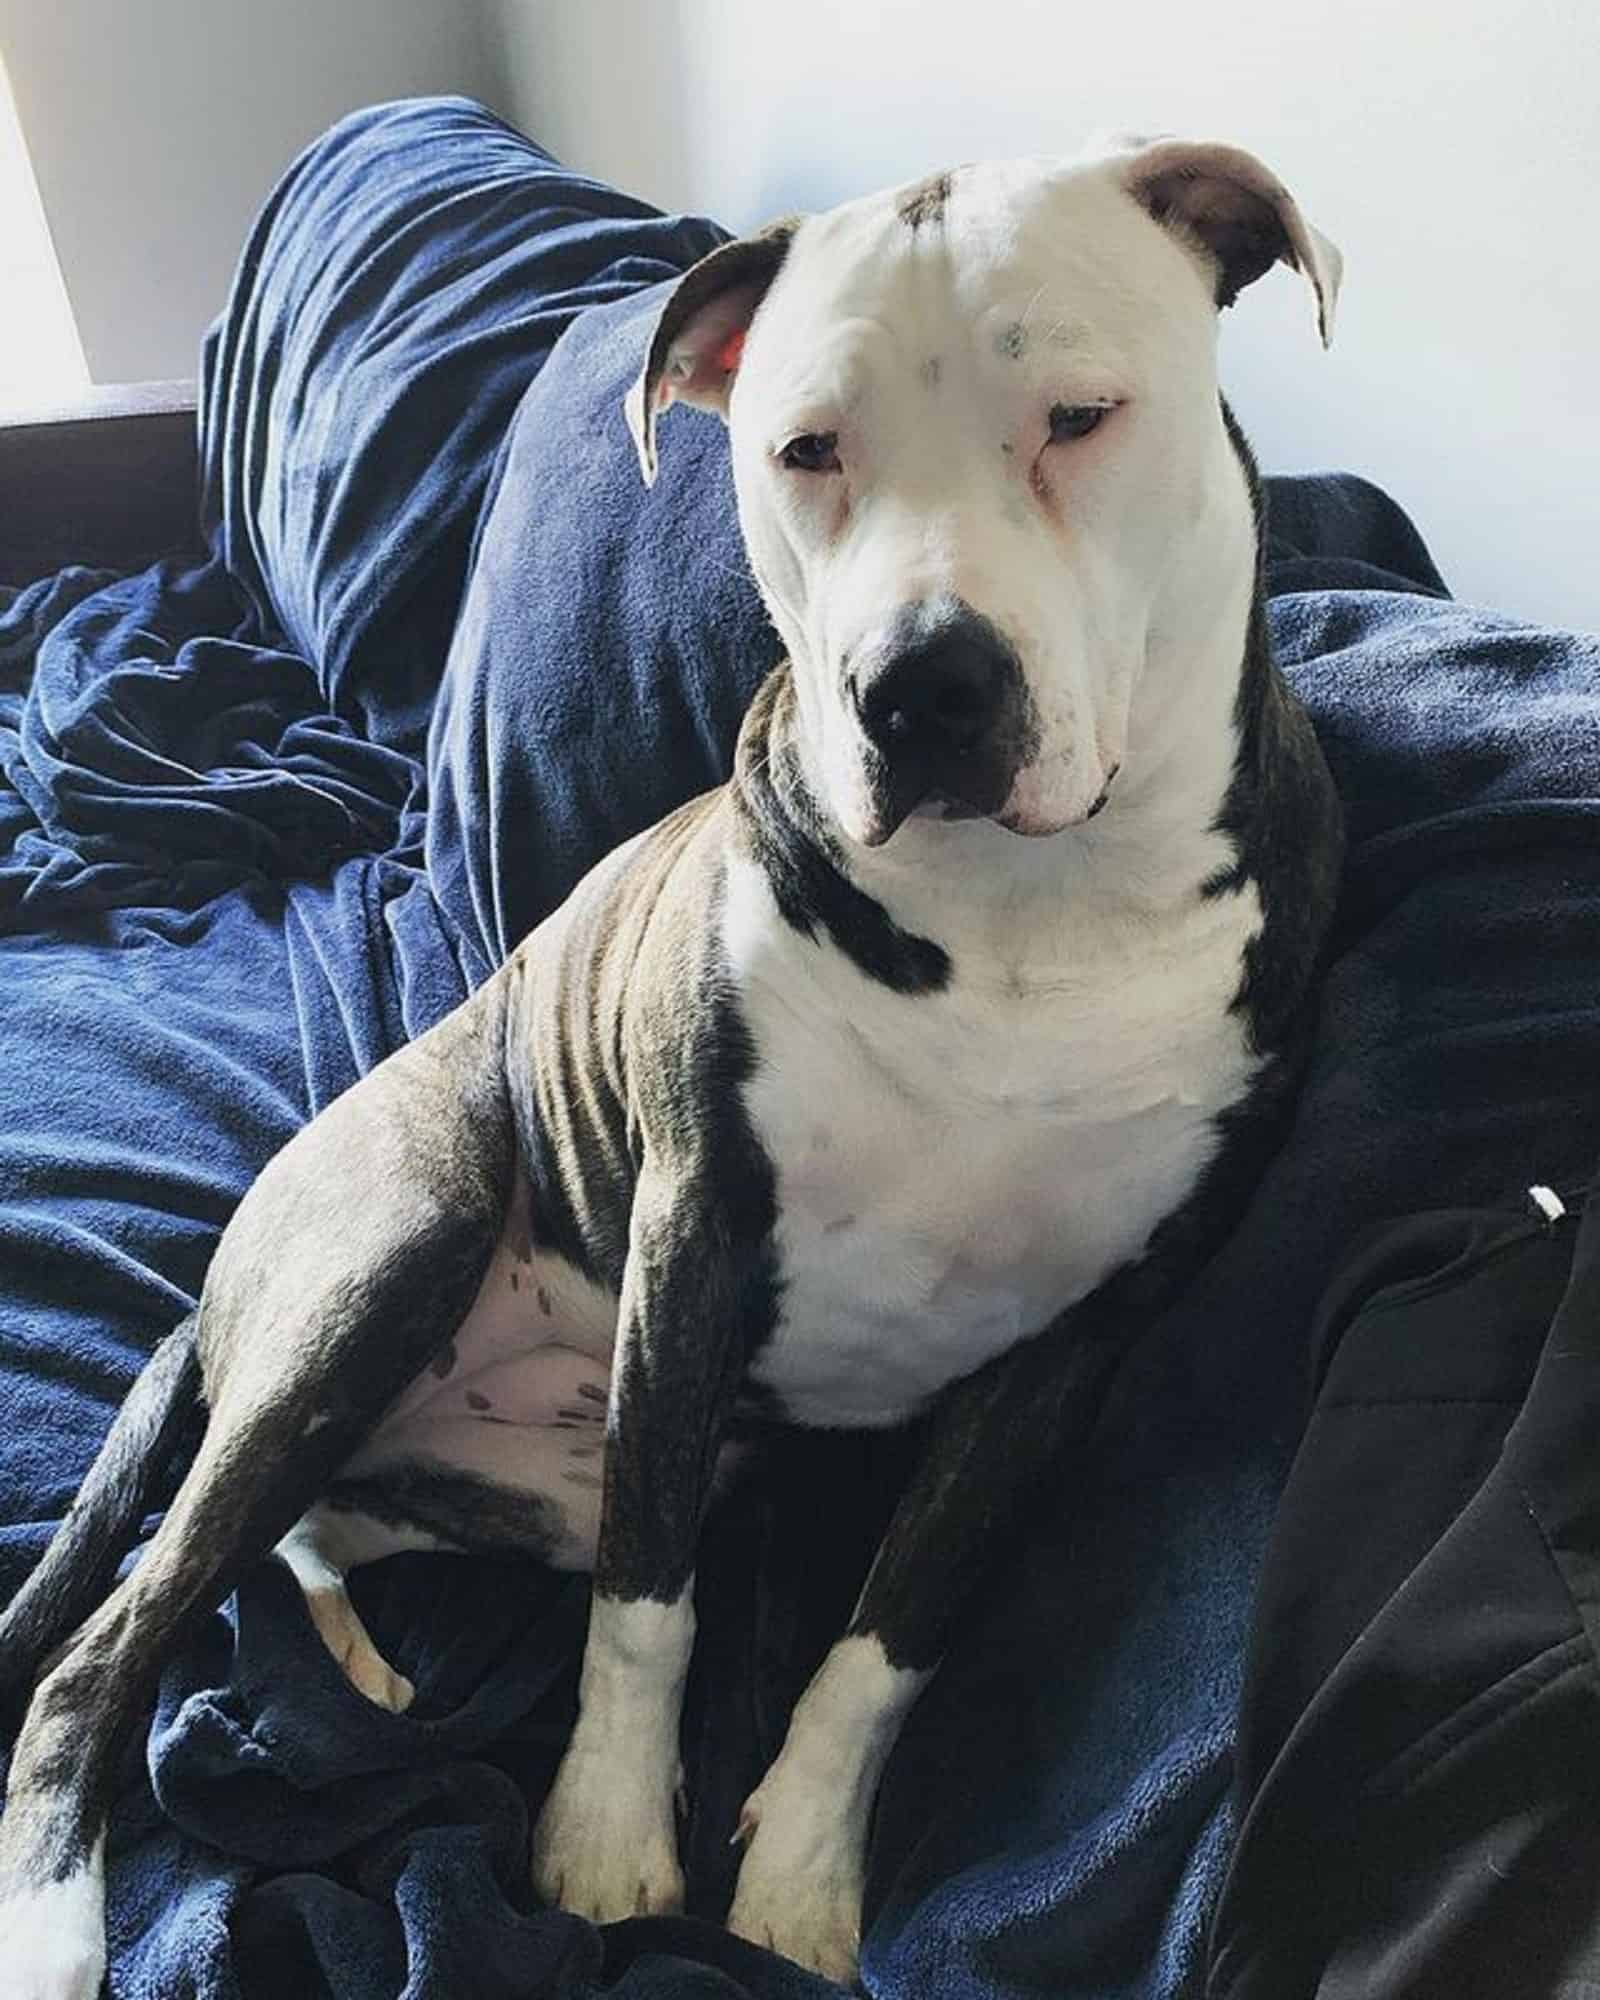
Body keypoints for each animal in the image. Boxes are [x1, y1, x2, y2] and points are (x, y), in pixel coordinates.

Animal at [0, 133, 1344, 1992]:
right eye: (805, 449)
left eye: (1080, 414)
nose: (920, 687)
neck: (1020, 922)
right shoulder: (691, 1234)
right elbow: (647, 1611)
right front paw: (607, 1844)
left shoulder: (1080, 1340)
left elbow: (890, 1637)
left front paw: (799, 1878)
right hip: (392, 1244)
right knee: (115, 1635)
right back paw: (59, 1917)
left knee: (302, 1547)